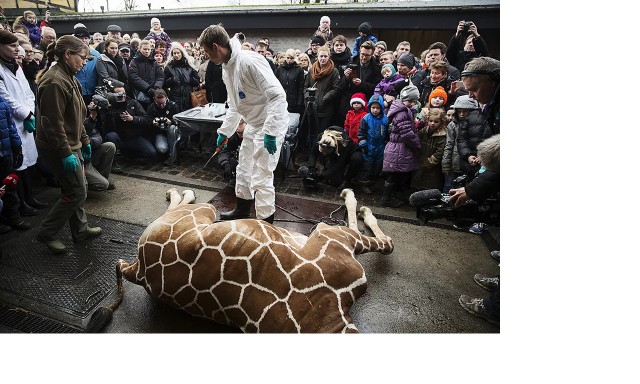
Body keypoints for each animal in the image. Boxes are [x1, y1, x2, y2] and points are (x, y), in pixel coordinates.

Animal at [99, 188, 392, 332]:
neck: (328, 320)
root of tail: (137, 270)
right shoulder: (332, 237)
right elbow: (384, 241)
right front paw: (356, 201)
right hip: (205, 210)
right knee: (183, 205)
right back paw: (178, 191)